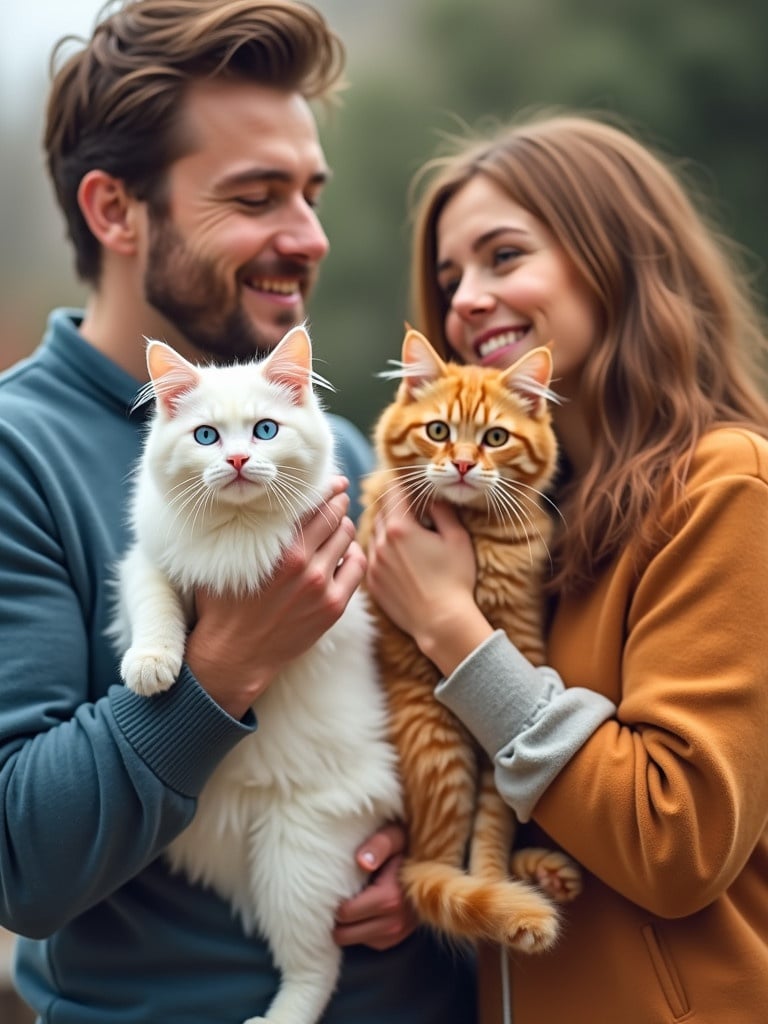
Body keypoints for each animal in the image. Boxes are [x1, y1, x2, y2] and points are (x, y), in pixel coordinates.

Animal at [113, 325, 405, 1024]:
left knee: (315, 969)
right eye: (206, 437)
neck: (235, 532)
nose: (241, 461)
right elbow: (158, 611)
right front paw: (152, 666)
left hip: (293, 858)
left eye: (265, 431)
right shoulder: (146, 564)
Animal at [360, 327, 581, 950]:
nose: (460, 464)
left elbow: (492, 831)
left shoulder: (522, 645)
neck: (475, 536)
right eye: (438, 431)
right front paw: (503, 906)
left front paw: (499, 887)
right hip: (439, 741)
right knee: (424, 875)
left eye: (495, 438)